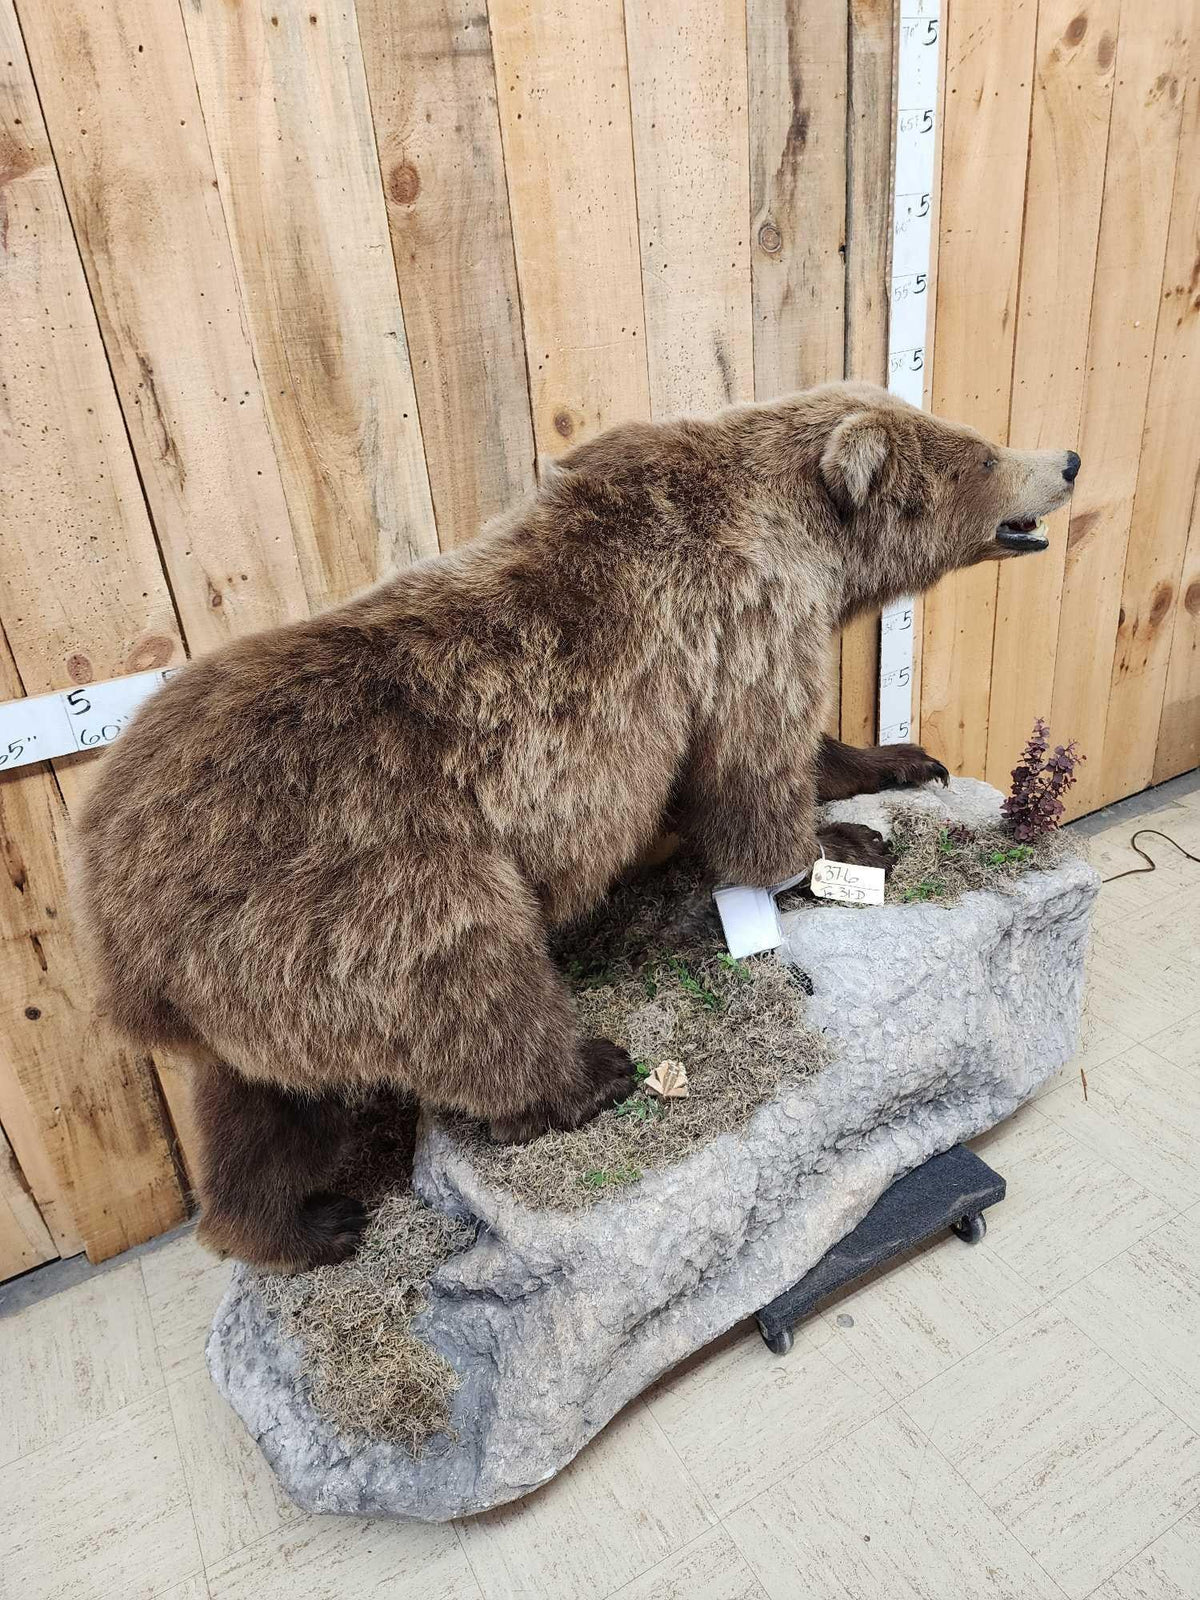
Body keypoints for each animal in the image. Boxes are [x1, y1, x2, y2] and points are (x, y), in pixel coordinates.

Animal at [76, 380, 1079, 1272]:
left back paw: (304, 1224)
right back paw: (588, 1075)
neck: (805, 535)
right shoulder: (740, 621)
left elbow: (796, 752)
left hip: (250, 971)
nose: (1065, 460)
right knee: (475, 981)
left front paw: (901, 757)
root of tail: (115, 922)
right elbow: (752, 764)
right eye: (982, 453)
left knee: (261, 1108)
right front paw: (839, 849)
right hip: (368, 885)